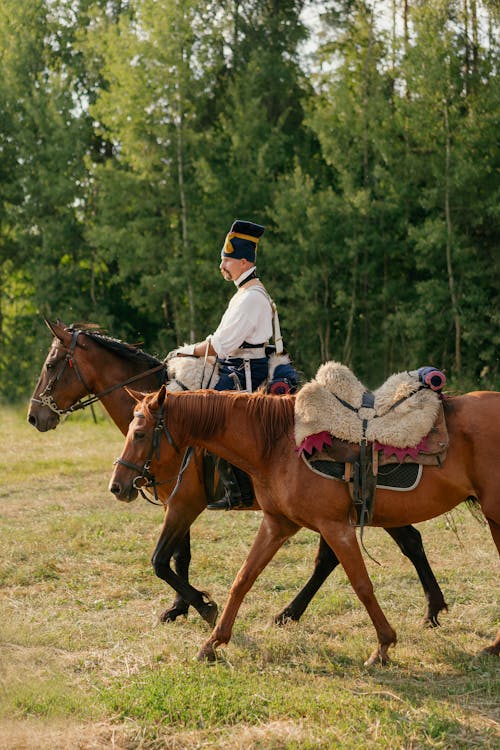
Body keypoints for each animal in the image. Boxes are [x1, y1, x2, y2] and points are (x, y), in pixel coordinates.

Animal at [27, 318, 448, 628]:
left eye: (50, 365)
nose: (35, 416)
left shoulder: (184, 503)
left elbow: (161, 561)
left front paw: (203, 606)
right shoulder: (179, 503)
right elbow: (181, 557)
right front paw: (180, 606)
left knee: (403, 543)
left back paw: (429, 608)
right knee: (349, 554)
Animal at [109, 388, 500, 668]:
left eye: (139, 433)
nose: (117, 485)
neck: (277, 443)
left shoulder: (335, 526)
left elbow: (362, 585)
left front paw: (384, 646)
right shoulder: (276, 524)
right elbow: (242, 580)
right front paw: (213, 641)